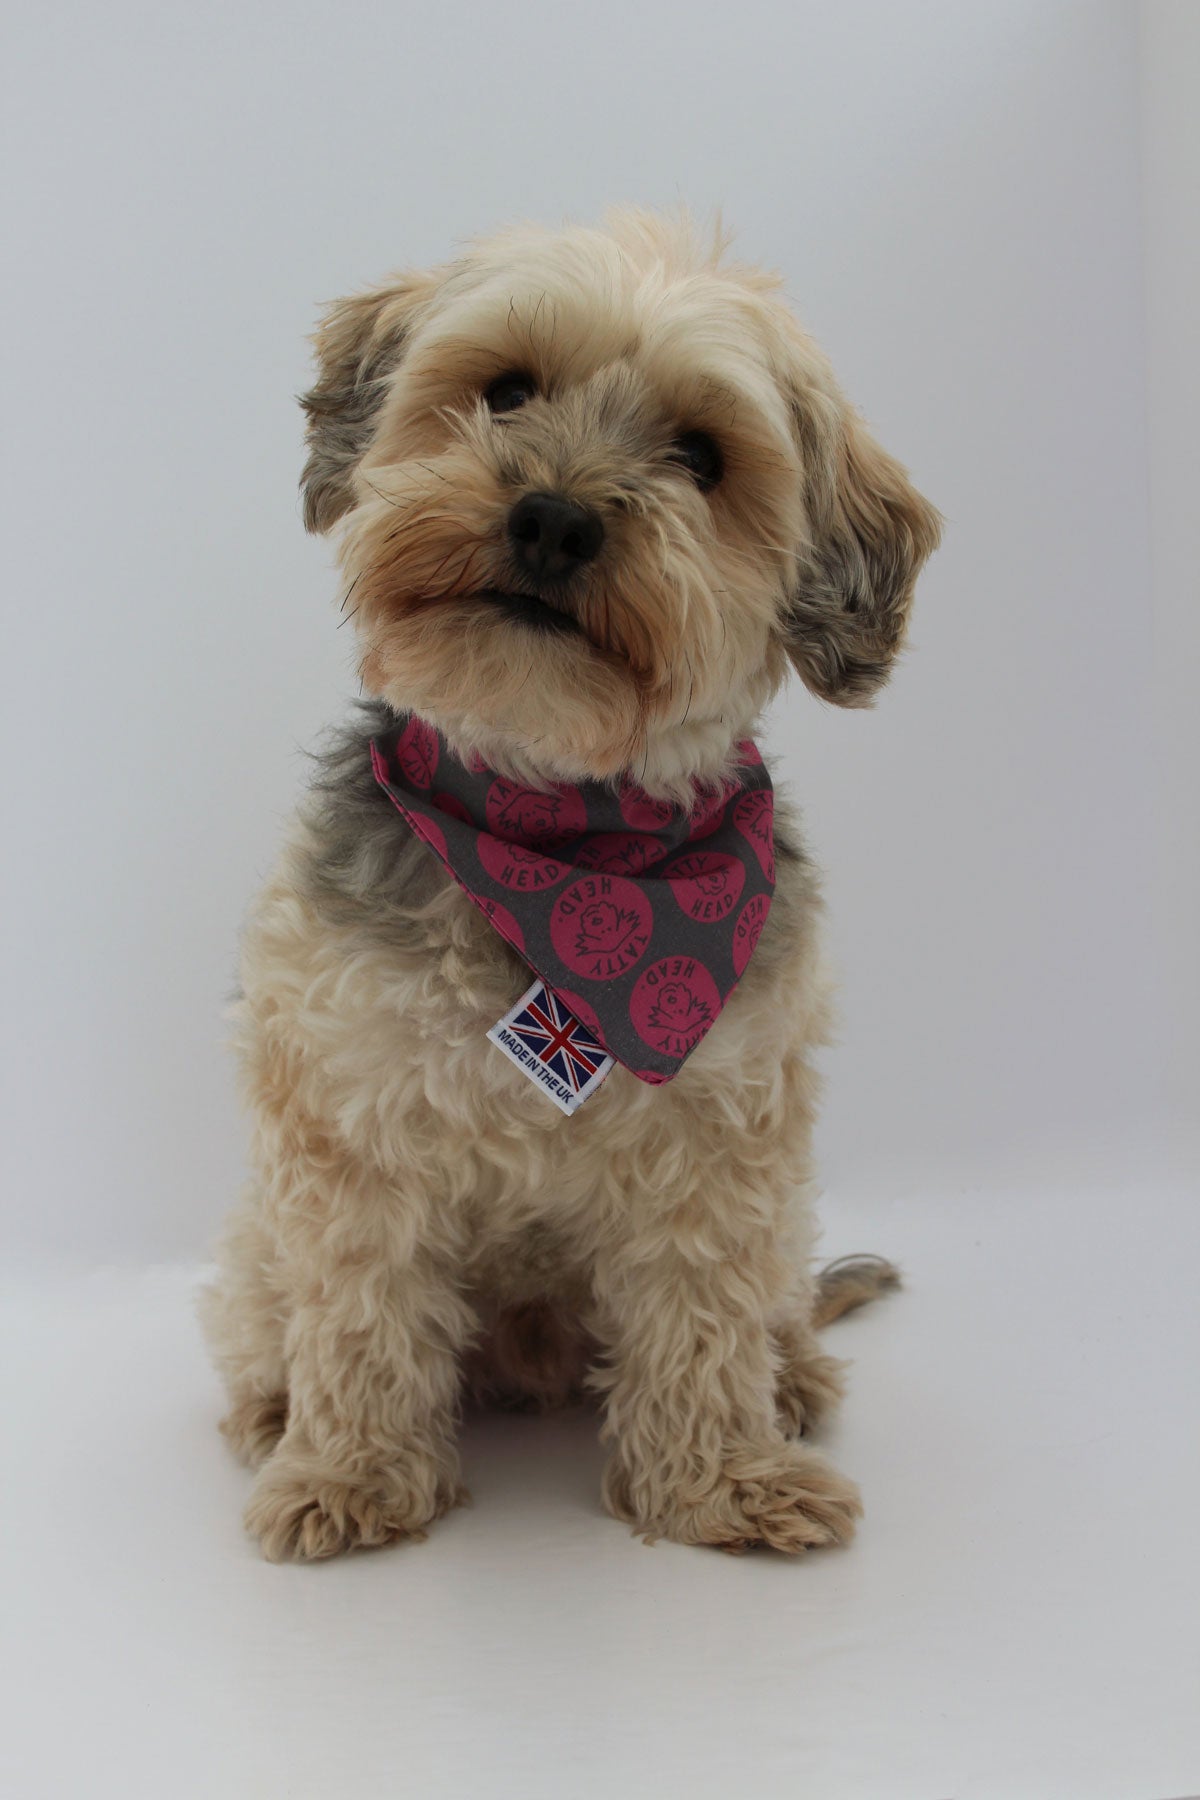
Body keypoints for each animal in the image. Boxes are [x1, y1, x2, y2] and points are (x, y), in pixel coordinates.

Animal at [201, 214, 942, 1562]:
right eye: (505, 390)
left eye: (703, 456)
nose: (551, 520)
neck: (557, 833)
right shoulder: (346, 1124)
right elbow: (359, 1310)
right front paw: (350, 1472)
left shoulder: (723, 1137)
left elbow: (705, 1315)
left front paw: (720, 1482)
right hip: (253, 1234)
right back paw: (275, 1409)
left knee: (773, 1306)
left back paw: (793, 1381)